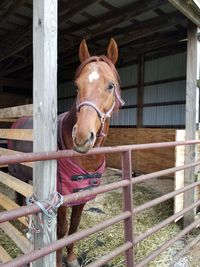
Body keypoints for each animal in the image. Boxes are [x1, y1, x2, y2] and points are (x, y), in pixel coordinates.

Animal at [7, 38, 124, 267]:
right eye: (77, 85)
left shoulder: (81, 197)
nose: (82, 137)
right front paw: (59, 261)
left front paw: (70, 258)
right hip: (17, 175)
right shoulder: (60, 201)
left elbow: (74, 227)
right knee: (19, 198)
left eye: (110, 85)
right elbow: (60, 232)